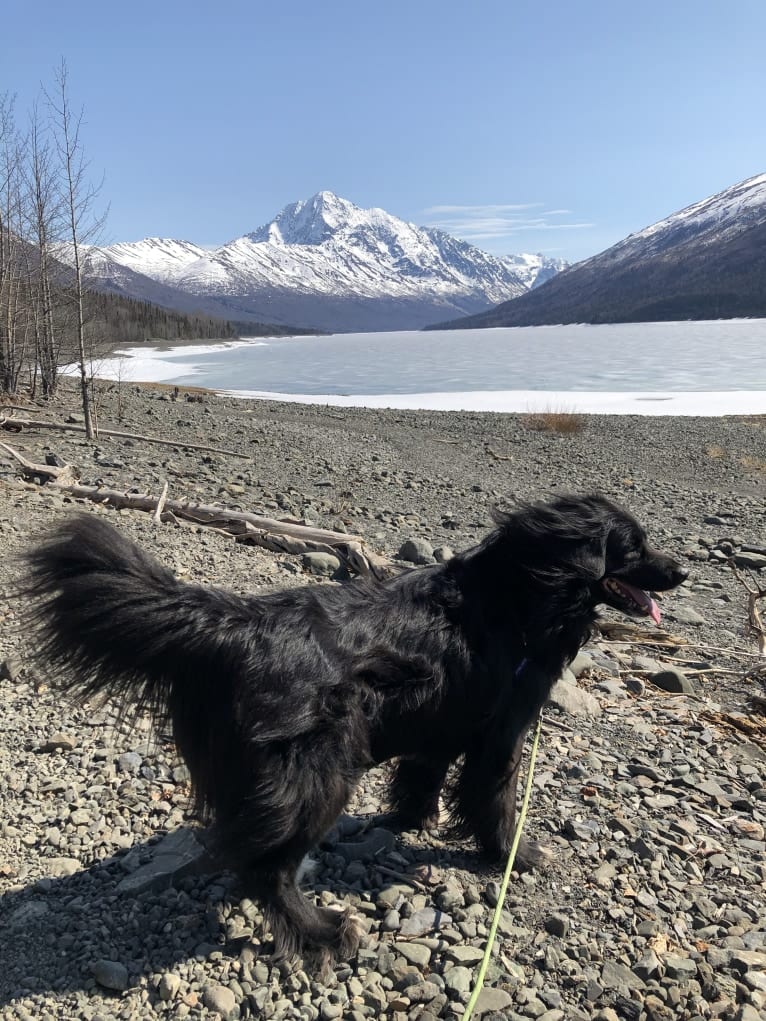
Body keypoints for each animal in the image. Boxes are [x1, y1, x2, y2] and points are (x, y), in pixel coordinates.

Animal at [24, 492, 686, 955]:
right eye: (632, 547)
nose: (682, 572)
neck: (518, 599)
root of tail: (230, 626)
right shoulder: (501, 733)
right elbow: (494, 799)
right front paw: (514, 856)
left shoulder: (440, 722)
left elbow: (421, 777)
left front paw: (409, 822)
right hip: (318, 774)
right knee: (265, 869)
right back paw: (322, 931)